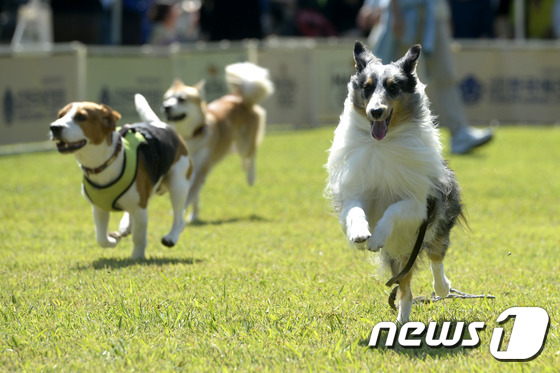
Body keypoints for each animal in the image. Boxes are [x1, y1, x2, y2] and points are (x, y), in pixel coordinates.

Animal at [50, 93, 195, 258]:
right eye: (60, 115)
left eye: (81, 117)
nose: (54, 127)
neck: (104, 163)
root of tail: (162, 125)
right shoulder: (99, 208)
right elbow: (101, 238)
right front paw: (113, 239)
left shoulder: (140, 210)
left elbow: (139, 237)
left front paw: (137, 257)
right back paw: (126, 225)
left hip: (178, 184)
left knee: (179, 218)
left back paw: (171, 237)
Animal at [162, 62, 274, 222]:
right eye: (166, 98)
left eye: (181, 99)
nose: (166, 107)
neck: (191, 136)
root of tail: (238, 96)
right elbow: (194, 196)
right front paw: (193, 215)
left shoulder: (200, 169)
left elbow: (190, 194)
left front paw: (181, 213)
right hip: (232, 144)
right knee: (244, 157)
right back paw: (244, 167)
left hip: (244, 144)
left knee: (252, 153)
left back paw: (251, 176)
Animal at [326, 41, 462, 322]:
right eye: (367, 87)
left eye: (393, 87)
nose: (375, 111)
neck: (383, 145)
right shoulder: (355, 190)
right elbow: (355, 211)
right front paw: (360, 232)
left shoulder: (418, 205)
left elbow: (393, 210)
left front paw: (377, 237)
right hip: (401, 255)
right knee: (405, 288)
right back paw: (402, 322)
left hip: (437, 223)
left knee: (436, 256)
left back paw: (442, 288)